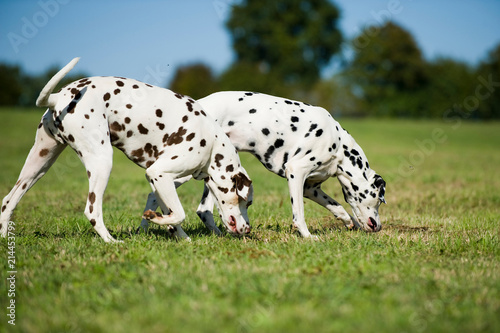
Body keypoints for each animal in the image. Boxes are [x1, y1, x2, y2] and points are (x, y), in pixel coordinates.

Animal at [0, 58, 252, 243]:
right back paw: (111, 241)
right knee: (92, 211)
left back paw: (4, 239)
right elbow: (179, 213)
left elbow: (173, 217)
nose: (248, 229)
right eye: (246, 202)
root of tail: (58, 97)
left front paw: (180, 237)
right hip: (101, 162)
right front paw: (156, 220)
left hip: (38, 165)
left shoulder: (158, 180)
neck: (212, 141)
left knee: (8, 201)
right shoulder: (159, 173)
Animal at [141, 91, 386, 236]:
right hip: (188, 170)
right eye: (379, 200)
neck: (339, 145)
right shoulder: (296, 173)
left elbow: (338, 207)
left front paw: (348, 221)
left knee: (199, 209)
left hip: (215, 176)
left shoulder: (311, 188)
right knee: (159, 194)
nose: (379, 226)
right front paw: (307, 236)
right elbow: (299, 214)